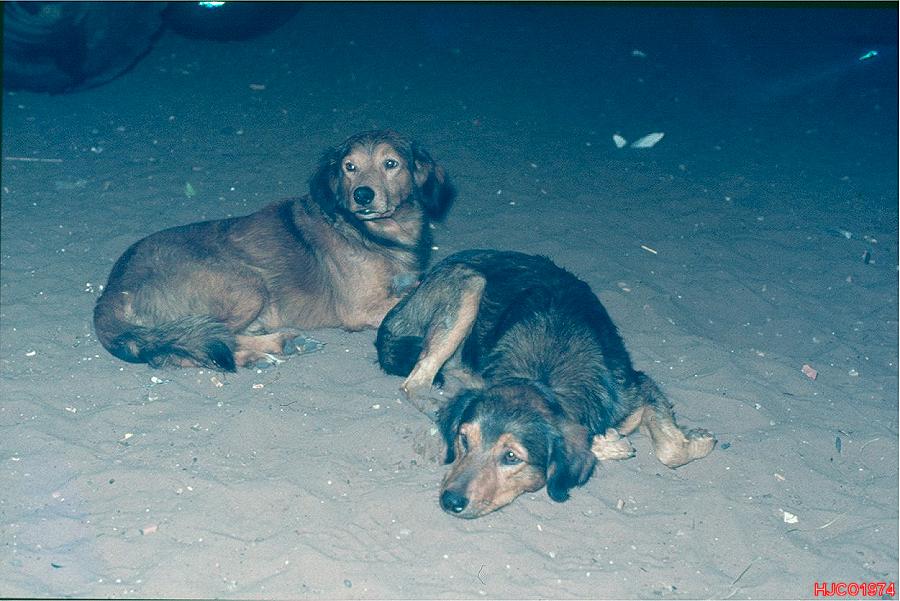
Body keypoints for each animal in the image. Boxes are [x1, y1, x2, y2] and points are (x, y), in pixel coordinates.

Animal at [94, 130, 454, 371]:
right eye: (349, 167)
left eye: (391, 164)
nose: (363, 195)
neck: (372, 232)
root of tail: (112, 290)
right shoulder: (360, 308)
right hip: (247, 283)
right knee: (198, 342)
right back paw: (267, 349)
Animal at [376, 250, 715, 518]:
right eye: (464, 440)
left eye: (511, 457)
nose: (450, 501)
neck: (544, 377)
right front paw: (611, 443)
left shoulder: (638, 387)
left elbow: (670, 449)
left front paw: (694, 440)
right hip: (470, 285)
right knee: (414, 383)